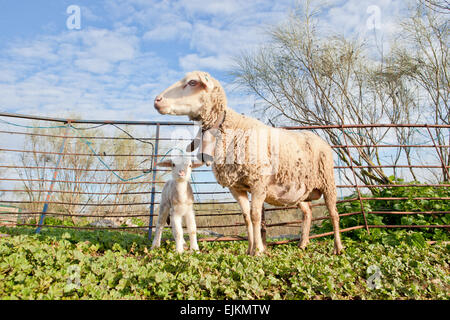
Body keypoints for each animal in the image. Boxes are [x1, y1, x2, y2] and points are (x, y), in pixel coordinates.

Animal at [153, 70, 342, 255]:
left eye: (192, 82)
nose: (157, 101)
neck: (229, 127)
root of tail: (319, 139)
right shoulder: (236, 187)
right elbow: (246, 217)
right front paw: (250, 249)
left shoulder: (258, 183)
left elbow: (256, 215)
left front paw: (258, 250)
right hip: (299, 190)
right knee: (308, 212)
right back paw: (302, 244)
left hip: (328, 181)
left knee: (334, 214)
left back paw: (338, 247)